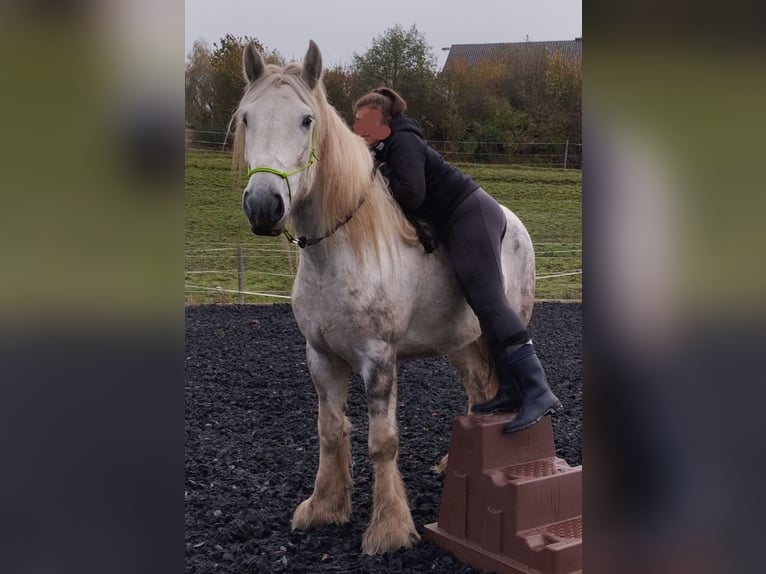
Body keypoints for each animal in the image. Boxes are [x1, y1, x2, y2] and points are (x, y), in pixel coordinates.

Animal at [233, 40, 536, 555]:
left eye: (306, 120)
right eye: (248, 117)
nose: (263, 205)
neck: (337, 252)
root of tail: (515, 223)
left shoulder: (378, 359)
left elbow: (382, 442)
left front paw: (390, 527)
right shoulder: (321, 357)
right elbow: (330, 431)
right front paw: (325, 506)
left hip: (502, 323)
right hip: (461, 343)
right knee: (480, 389)